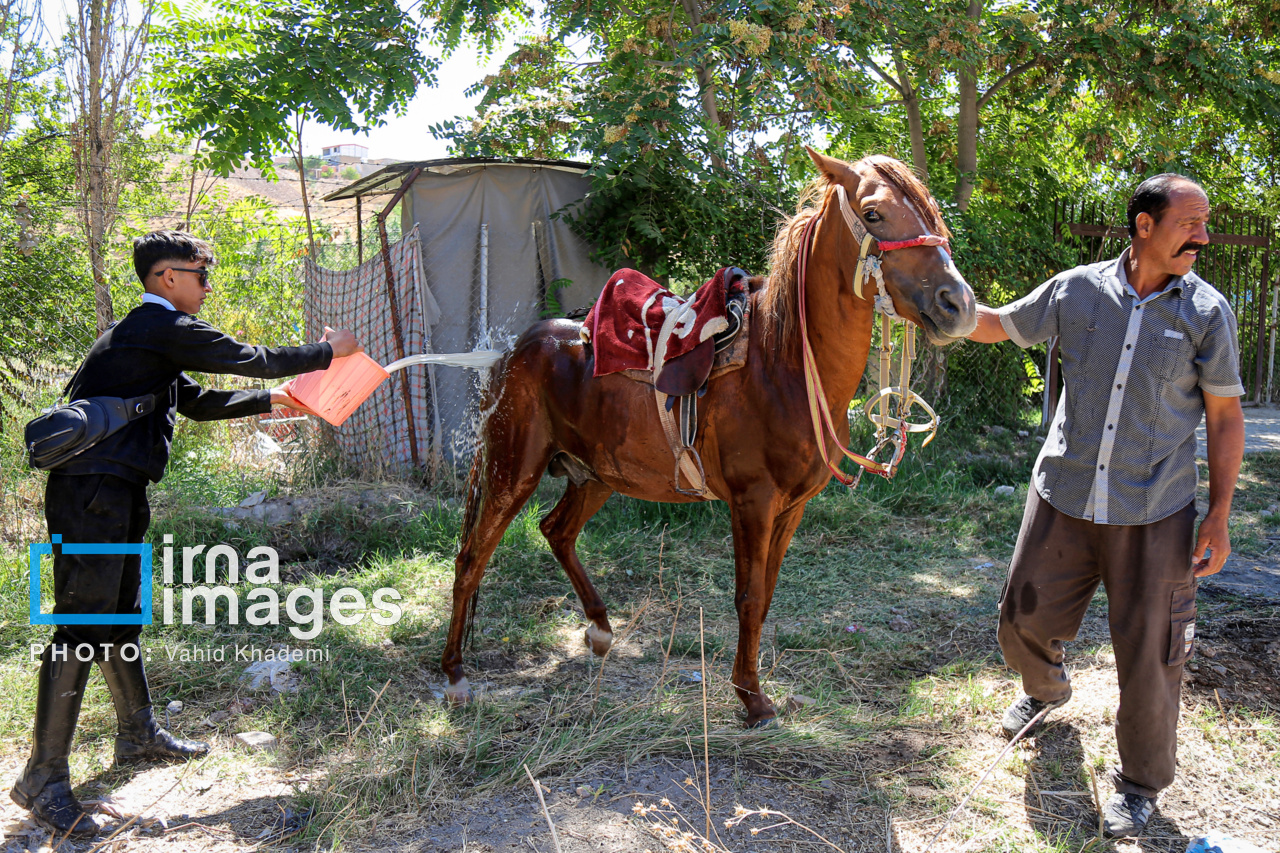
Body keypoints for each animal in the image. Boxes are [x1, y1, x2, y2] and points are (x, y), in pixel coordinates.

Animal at [445, 147, 972, 722]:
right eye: (873, 214)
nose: (959, 305)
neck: (783, 366)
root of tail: (513, 351)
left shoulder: (792, 506)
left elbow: (765, 595)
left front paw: (751, 688)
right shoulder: (752, 501)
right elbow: (748, 597)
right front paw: (751, 697)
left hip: (596, 475)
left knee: (556, 531)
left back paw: (601, 630)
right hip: (513, 470)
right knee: (472, 557)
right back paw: (453, 673)